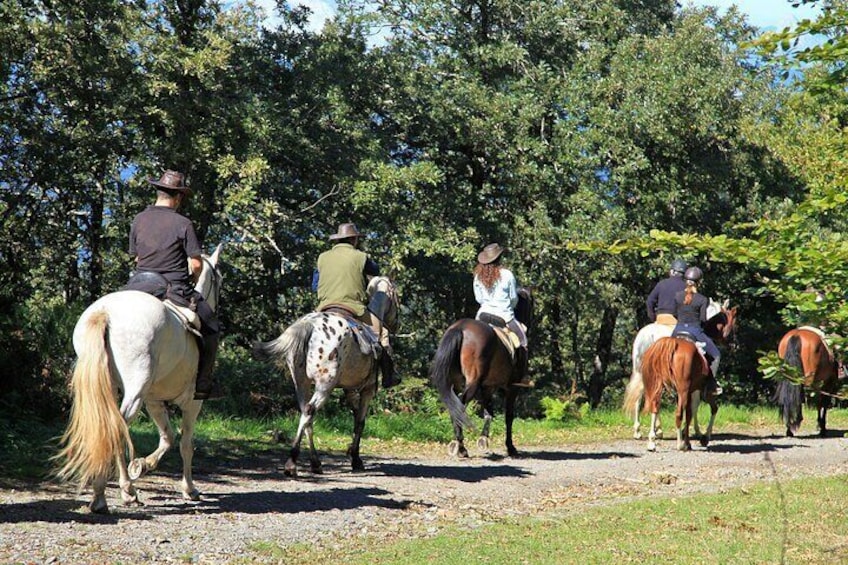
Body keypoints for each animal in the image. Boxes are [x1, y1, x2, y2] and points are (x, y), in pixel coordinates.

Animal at [54, 242, 224, 512]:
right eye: (219, 280)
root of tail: (105, 312)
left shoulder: (153, 401)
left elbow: (168, 437)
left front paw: (142, 466)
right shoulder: (193, 402)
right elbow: (186, 444)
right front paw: (189, 489)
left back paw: (121, 490)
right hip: (135, 392)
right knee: (117, 429)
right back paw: (110, 494)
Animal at [252, 276, 398, 474]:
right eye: (396, 297)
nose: (396, 324)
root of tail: (308, 324)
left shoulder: (349, 390)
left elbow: (355, 418)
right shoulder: (367, 390)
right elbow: (360, 421)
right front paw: (356, 459)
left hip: (301, 383)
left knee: (306, 415)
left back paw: (314, 462)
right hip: (324, 385)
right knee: (309, 411)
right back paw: (292, 460)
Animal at [428, 288, 532, 456]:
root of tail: (460, 328)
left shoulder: (488, 387)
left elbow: (488, 413)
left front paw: (484, 439)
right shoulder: (512, 388)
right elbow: (508, 416)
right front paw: (510, 447)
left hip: (457, 381)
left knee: (453, 405)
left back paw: (459, 445)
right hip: (473, 382)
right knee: (460, 404)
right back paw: (460, 446)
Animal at [624, 298, 736, 438]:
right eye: (729, 319)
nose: (732, 342)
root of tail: (647, 337)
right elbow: (695, 403)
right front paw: (695, 430)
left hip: (642, 373)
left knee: (642, 398)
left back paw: (642, 431)